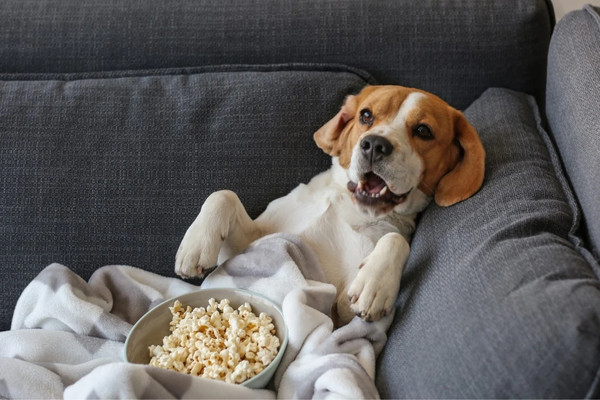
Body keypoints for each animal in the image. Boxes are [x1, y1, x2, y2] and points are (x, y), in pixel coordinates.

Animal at [173, 86, 482, 326]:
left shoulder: (340, 309)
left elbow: (395, 240)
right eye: (366, 115)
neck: (349, 206)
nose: (374, 144)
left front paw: (375, 284)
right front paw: (195, 245)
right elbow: (223, 195)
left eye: (423, 131)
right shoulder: (250, 244)